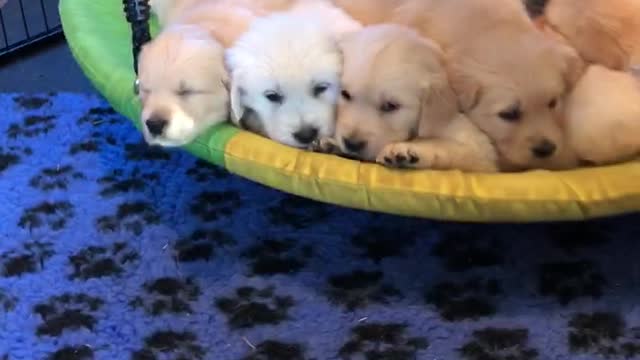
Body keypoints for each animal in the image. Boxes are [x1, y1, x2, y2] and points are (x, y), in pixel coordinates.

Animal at [320, 24, 500, 173]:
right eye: (345, 94)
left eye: (390, 105)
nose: (352, 143)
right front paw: (332, 144)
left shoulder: (482, 152)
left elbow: (442, 145)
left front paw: (408, 151)